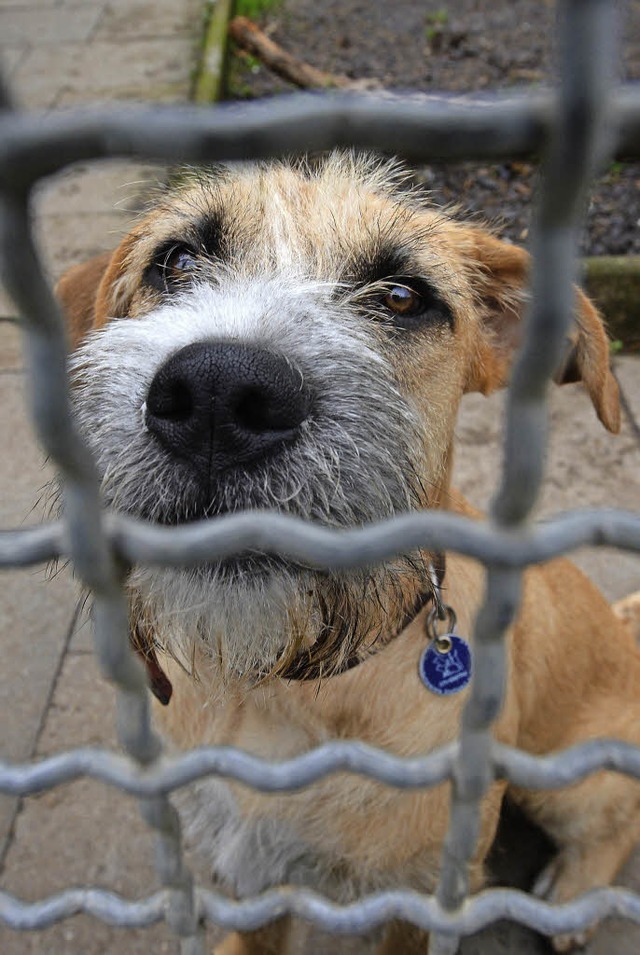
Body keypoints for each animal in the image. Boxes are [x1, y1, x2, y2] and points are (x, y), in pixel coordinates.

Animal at [56, 153, 640, 952]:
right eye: (176, 261)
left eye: (402, 296)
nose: (217, 394)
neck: (279, 689)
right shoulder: (248, 862)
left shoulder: (420, 893)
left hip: (563, 778)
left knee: (615, 822)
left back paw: (574, 896)